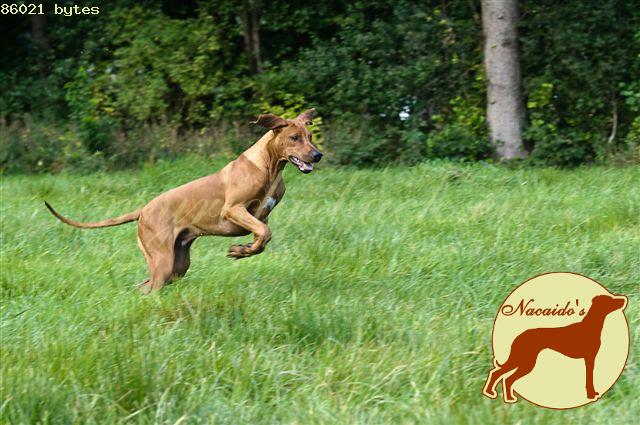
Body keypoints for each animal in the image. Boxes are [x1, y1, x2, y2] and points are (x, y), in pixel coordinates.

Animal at [45, 109, 322, 294]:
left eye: (310, 136)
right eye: (295, 137)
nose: (318, 155)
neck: (270, 166)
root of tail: (144, 209)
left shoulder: (260, 216)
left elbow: (263, 236)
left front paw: (241, 250)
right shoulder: (233, 209)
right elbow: (265, 232)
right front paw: (242, 249)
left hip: (177, 263)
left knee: (144, 285)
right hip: (163, 260)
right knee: (150, 288)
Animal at [483, 294, 627, 403]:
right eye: (610, 300)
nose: (624, 300)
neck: (591, 327)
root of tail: (518, 336)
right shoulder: (589, 358)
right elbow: (589, 378)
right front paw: (591, 395)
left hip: (522, 360)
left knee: (502, 376)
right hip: (525, 361)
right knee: (502, 376)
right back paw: (498, 395)